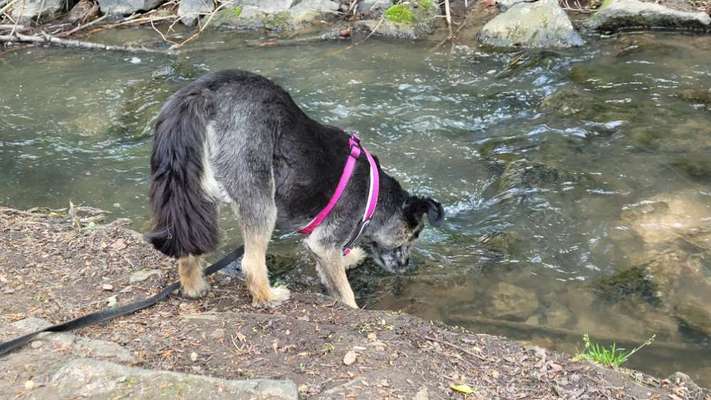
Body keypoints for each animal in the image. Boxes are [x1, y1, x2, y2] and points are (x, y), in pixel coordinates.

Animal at [145, 69, 444, 308]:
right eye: (414, 235)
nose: (406, 266)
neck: (373, 196)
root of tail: (202, 94)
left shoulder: (321, 244)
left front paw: (352, 258)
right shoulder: (325, 242)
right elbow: (344, 290)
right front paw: (353, 307)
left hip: (197, 194)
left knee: (188, 246)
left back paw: (194, 287)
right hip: (261, 198)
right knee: (251, 263)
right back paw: (269, 296)